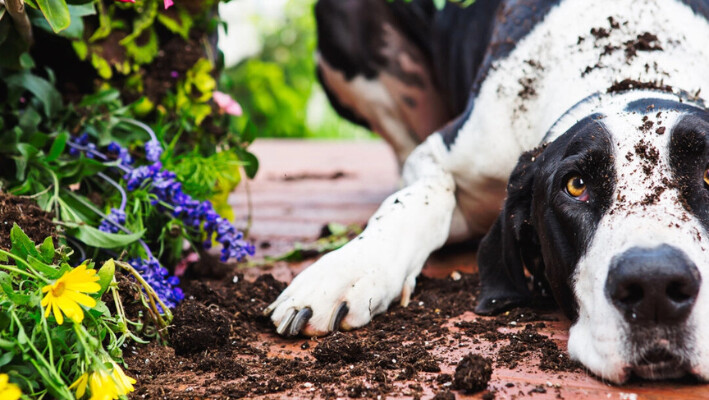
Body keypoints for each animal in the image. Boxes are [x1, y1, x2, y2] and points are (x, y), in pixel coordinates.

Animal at [262, 0, 709, 382]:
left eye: (708, 175)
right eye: (576, 185)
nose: (655, 286)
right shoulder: (443, 153)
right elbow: (421, 198)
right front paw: (349, 269)